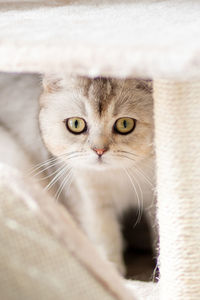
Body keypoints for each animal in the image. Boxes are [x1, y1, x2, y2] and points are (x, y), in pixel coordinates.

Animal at [39, 75, 155, 274]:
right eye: (75, 124)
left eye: (125, 124)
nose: (99, 150)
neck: (117, 174)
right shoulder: (92, 200)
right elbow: (105, 234)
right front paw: (114, 272)